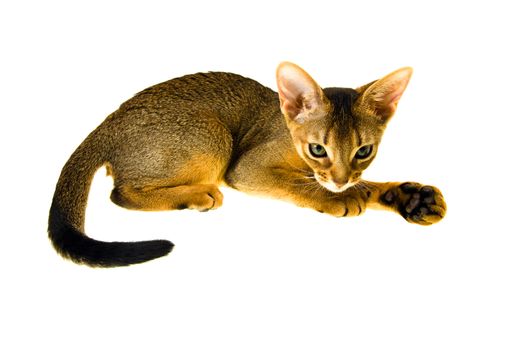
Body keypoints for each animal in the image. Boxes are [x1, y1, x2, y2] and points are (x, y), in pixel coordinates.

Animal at [48, 62, 446, 268]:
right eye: (318, 148)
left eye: (364, 151)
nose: (338, 181)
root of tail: (109, 122)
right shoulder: (247, 168)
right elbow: (301, 184)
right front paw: (338, 198)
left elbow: (363, 182)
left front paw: (409, 198)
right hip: (213, 135)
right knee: (121, 193)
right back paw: (198, 195)